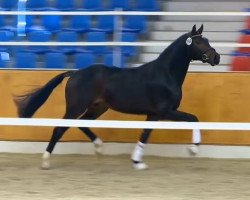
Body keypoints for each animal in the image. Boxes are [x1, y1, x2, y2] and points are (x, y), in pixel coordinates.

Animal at [14, 24, 220, 170]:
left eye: (207, 40)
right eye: (199, 42)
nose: (216, 58)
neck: (165, 74)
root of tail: (75, 73)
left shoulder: (154, 114)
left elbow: (145, 134)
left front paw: (137, 162)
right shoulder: (165, 111)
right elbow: (193, 118)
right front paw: (193, 149)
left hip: (98, 107)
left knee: (82, 123)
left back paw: (99, 148)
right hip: (75, 107)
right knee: (59, 128)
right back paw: (46, 161)